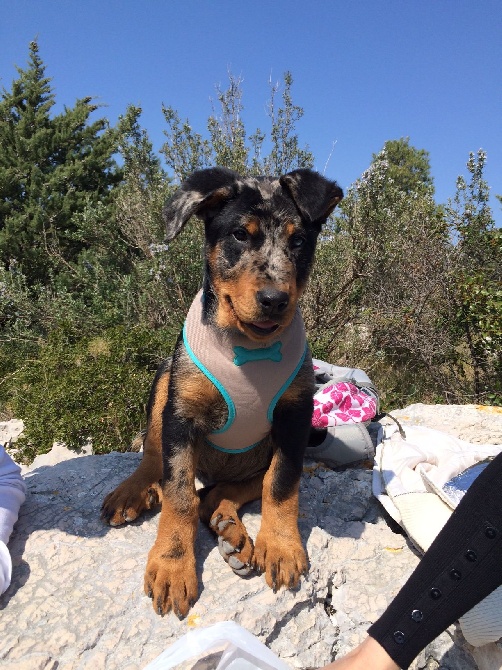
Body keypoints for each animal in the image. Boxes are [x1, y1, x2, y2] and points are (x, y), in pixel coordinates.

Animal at [102, 168, 346, 620]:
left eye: (299, 241)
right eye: (239, 235)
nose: (275, 300)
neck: (248, 347)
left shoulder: (295, 415)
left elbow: (281, 482)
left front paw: (281, 545)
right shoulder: (180, 416)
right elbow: (178, 493)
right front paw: (172, 563)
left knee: (233, 487)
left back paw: (230, 529)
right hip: (165, 379)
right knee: (157, 460)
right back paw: (135, 490)